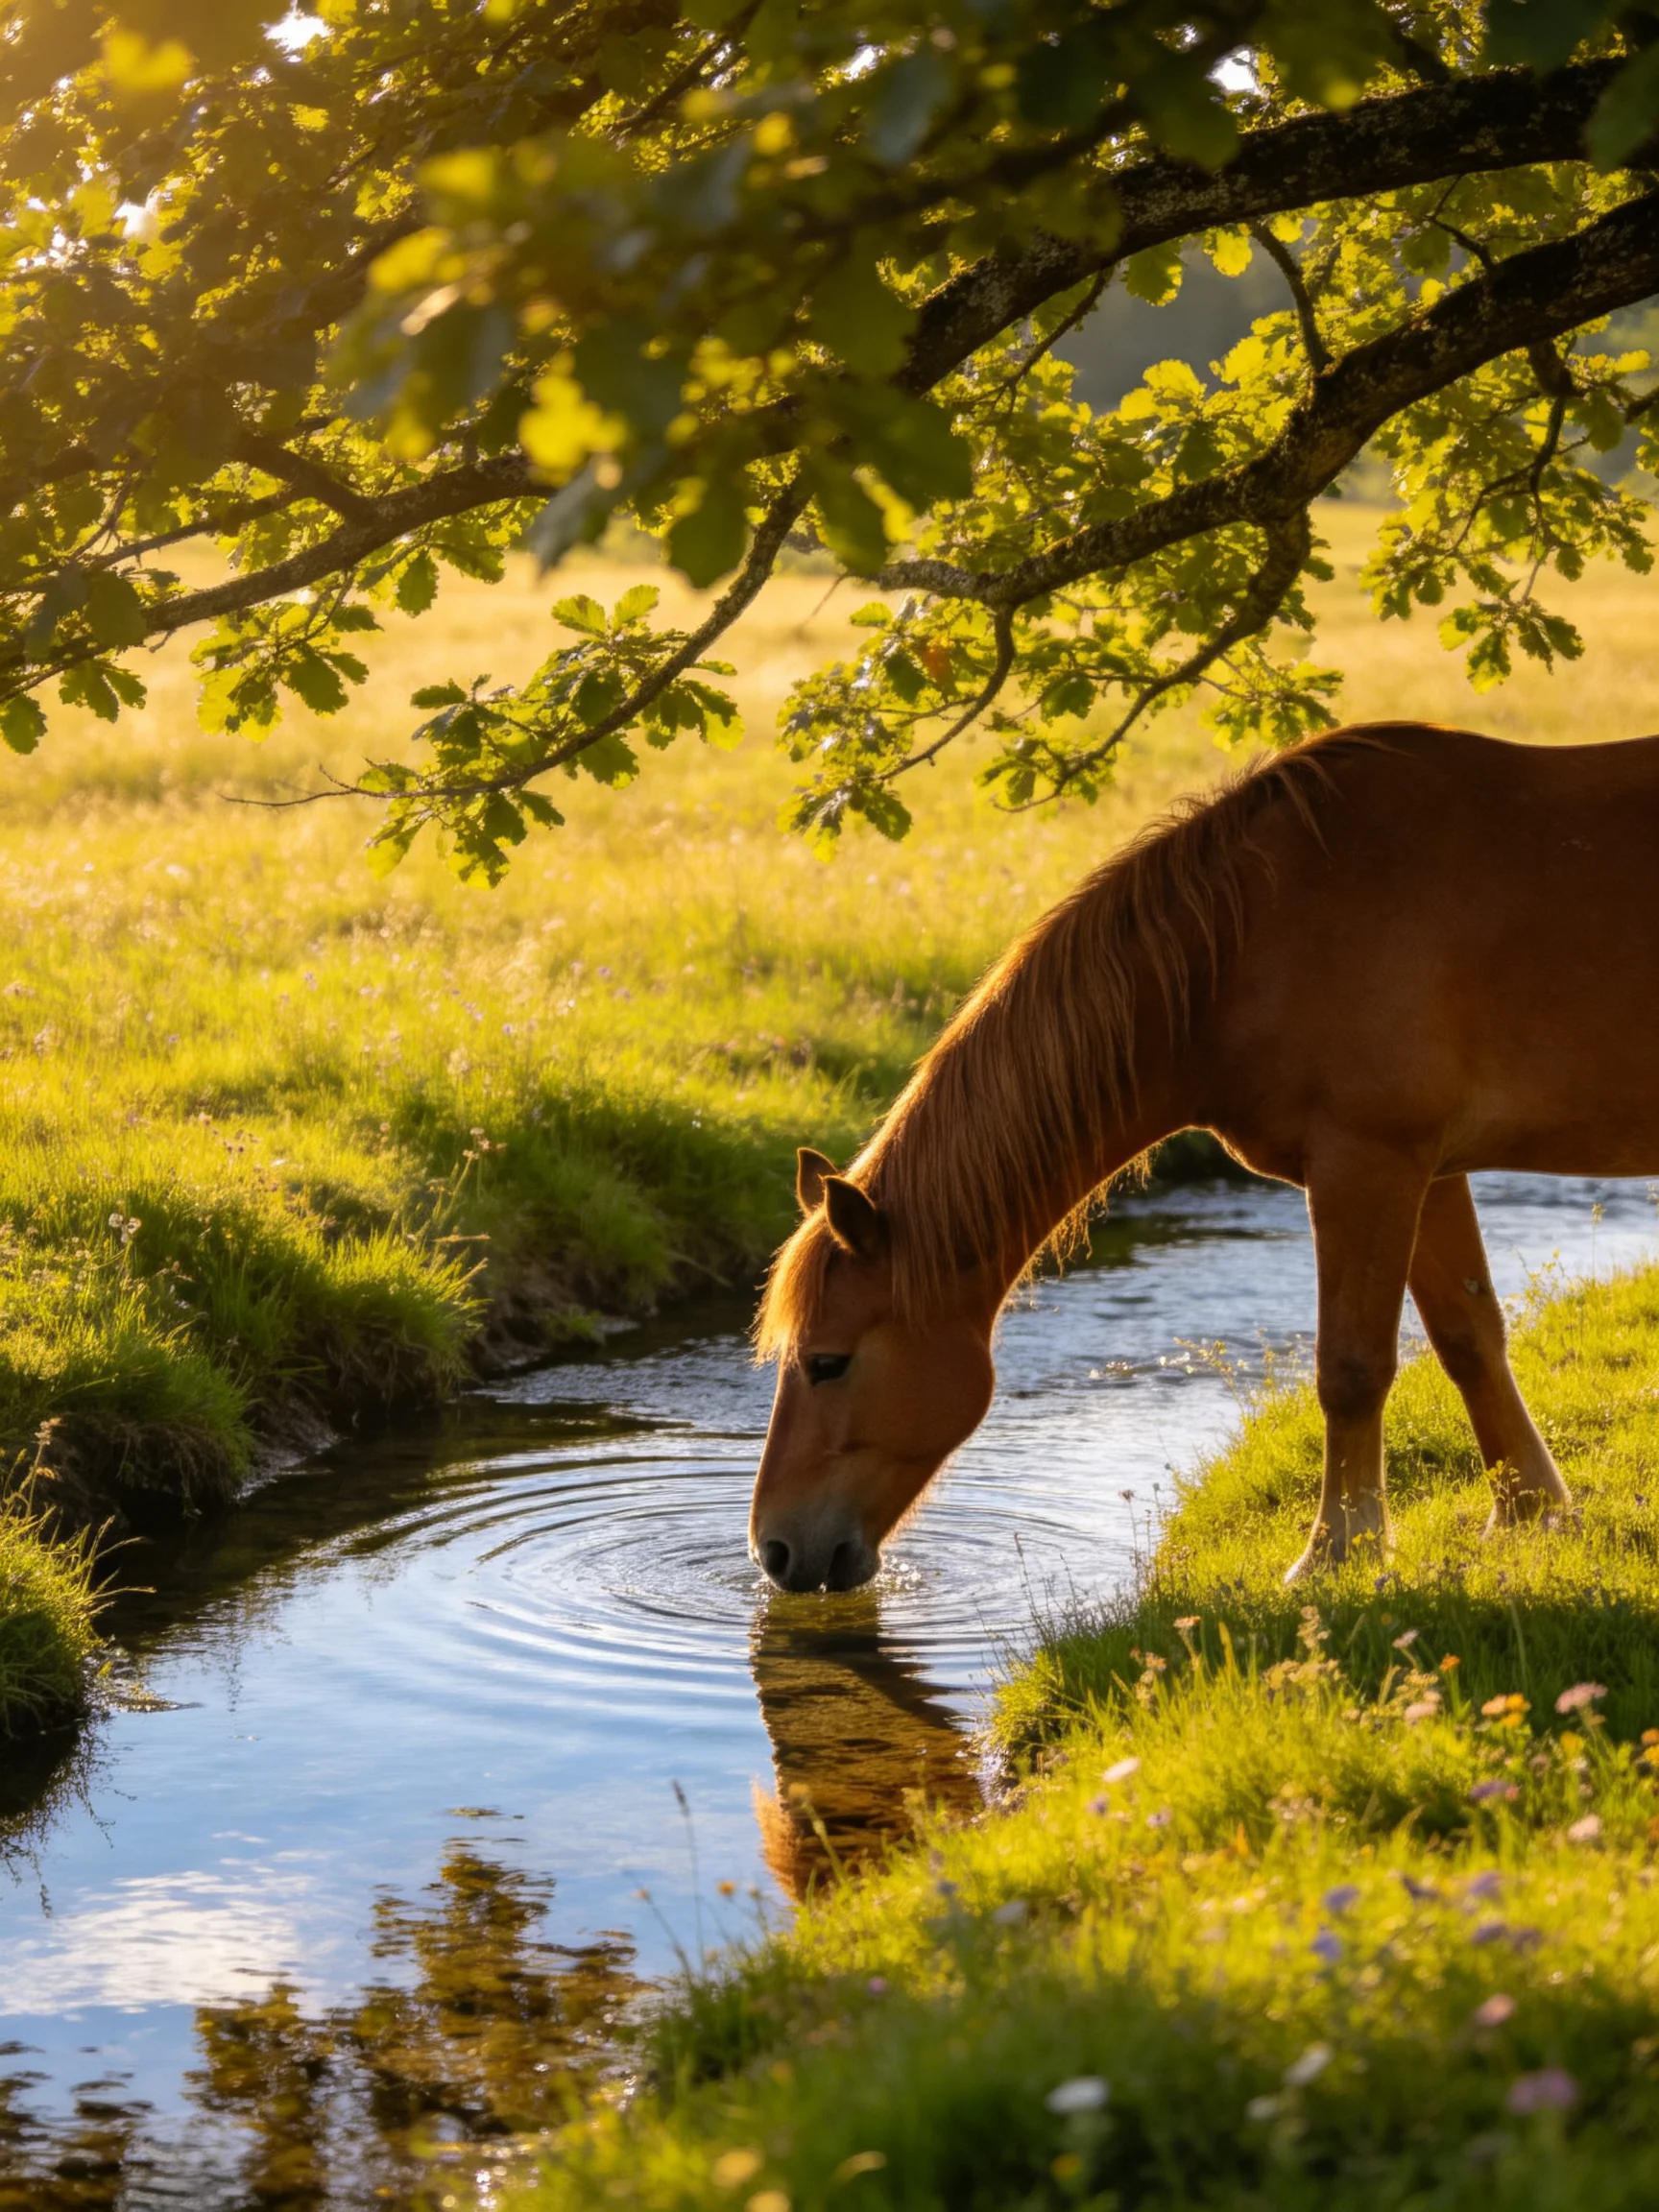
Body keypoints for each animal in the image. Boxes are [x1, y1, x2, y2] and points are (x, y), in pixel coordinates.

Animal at [750, 721, 1659, 1592]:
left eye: (826, 1363)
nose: (775, 1551)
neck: (1252, 937)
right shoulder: (1428, 1171)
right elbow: (1469, 1339)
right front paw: (1529, 1518)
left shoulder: (1367, 1165)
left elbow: (1351, 1368)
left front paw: (1335, 1554)